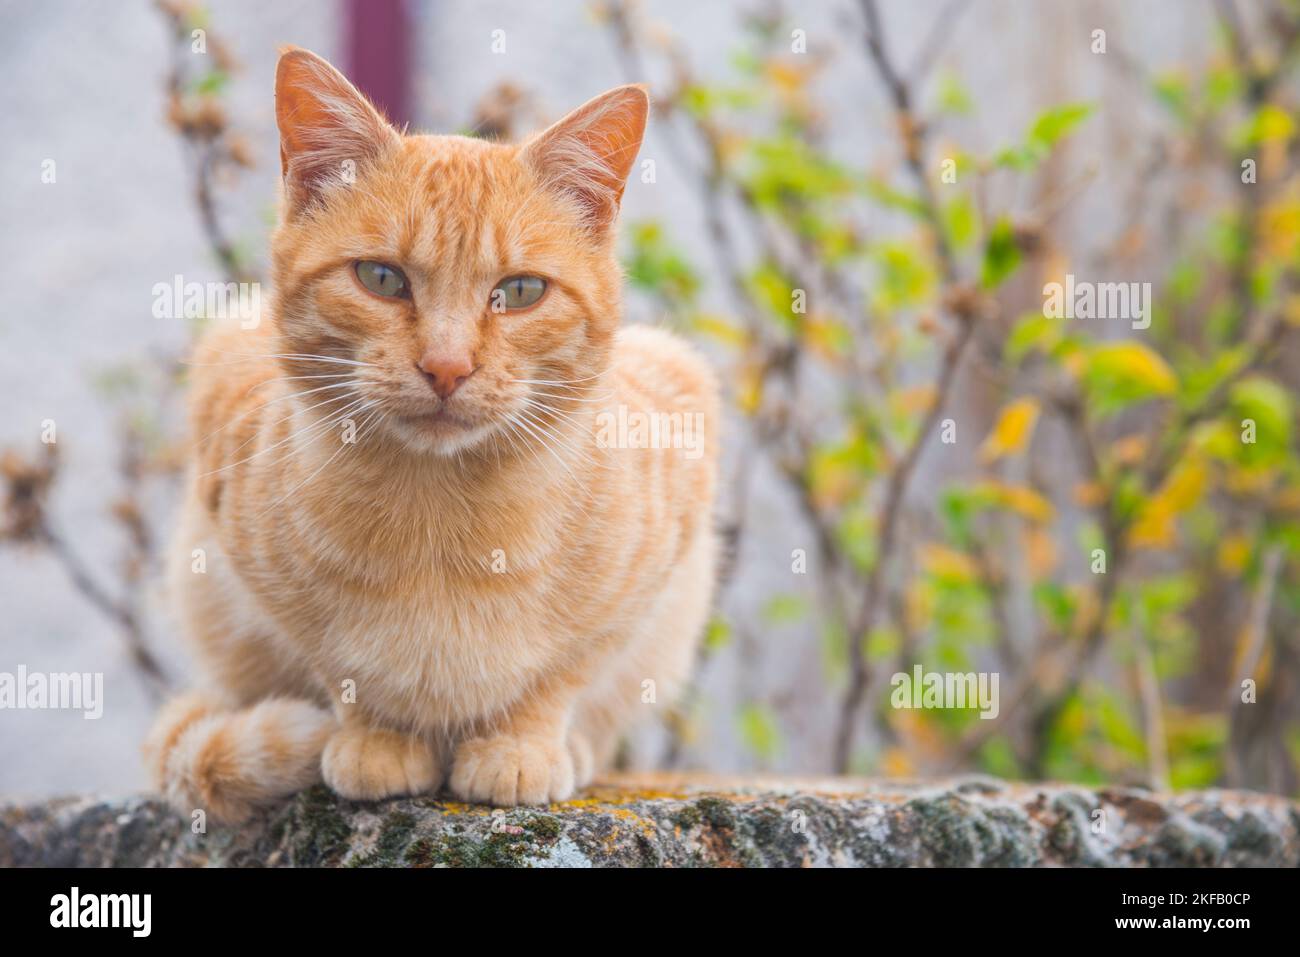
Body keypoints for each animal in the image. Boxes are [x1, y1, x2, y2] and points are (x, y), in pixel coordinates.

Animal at [149, 48, 722, 816]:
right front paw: (375, 738)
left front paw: (521, 747)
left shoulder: (672, 493)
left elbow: (563, 672)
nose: (447, 367)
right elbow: (337, 668)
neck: (439, 517)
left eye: (520, 292)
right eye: (381, 277)